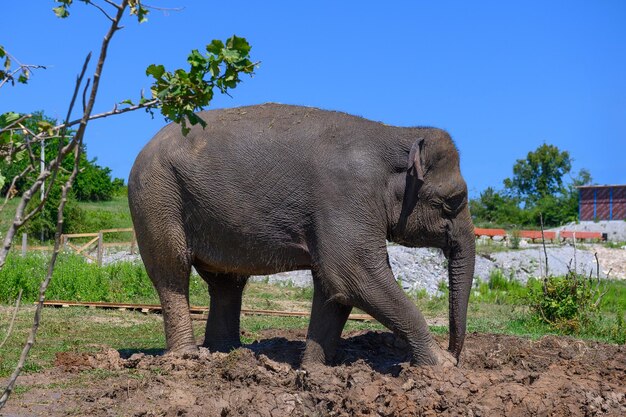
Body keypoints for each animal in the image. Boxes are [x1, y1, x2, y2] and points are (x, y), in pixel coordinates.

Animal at [129, 103, 476, 364]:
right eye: (452, 201)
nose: (455, 354)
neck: (397, 132)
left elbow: (334, 287)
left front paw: (314, 370)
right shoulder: (345, 196)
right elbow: (355, 275)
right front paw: (441, 366)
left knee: (226, 282)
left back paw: (227, 353)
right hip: (157, 196)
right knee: (172, 270)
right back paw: (188, 357)